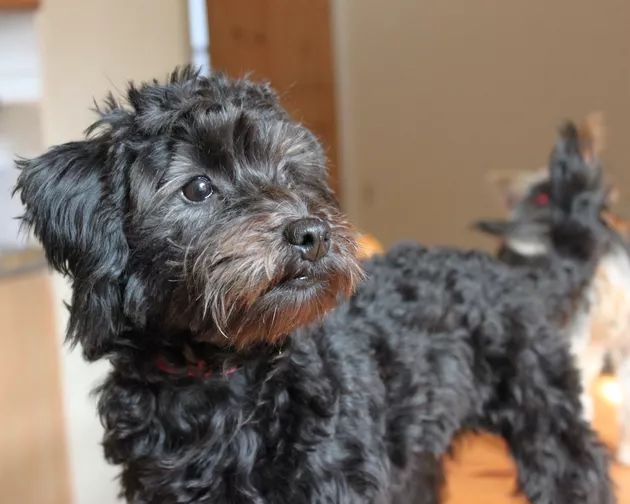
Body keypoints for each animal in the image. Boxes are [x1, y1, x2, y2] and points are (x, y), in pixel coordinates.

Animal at [16, 68, 616, 504]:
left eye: (290, 173)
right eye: (198, 188)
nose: (311, 233)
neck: (221, 379)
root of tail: (510, 274)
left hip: (548, 423)